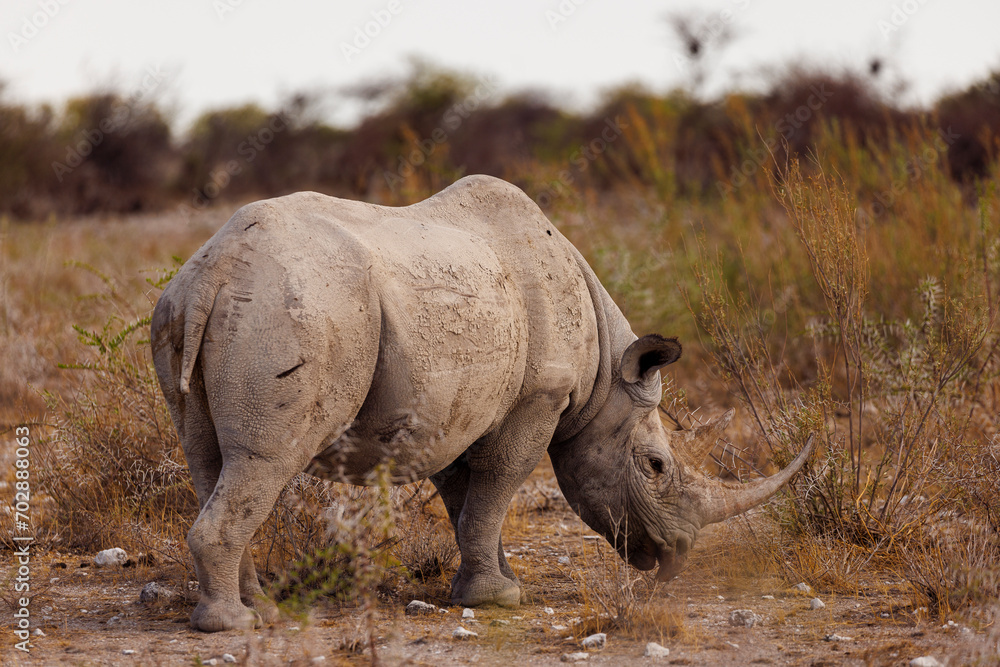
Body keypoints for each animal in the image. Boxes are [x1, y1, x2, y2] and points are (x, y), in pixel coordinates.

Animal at [151, 175, 811, 632]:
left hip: (195, 308)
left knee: (209, 458)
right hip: (298, 312)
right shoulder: (540, 395)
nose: (676, 556)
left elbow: (467, 500)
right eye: (655, 466)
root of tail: (216, 268)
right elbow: (499, 482)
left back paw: (259, 611)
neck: (604, 376)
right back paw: (232, 626)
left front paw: (498, 582)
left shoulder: (450, 409)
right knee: (265, 462)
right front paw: (496, 599)